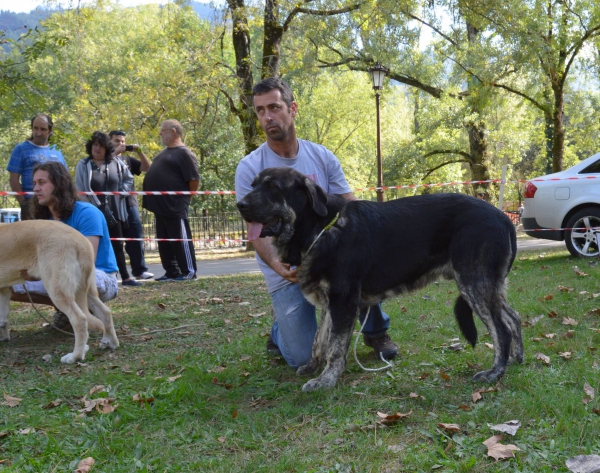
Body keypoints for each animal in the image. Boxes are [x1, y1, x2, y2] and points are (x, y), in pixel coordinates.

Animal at [237, 168, 524, 390]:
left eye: (272, 186)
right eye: (252, 185)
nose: (240, 205)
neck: (321, 228)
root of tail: (504, 218)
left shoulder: (343, 301)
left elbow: (335, 346)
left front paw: (326, 380)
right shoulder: (331, 303)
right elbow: (320, 340)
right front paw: (311, 366)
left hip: (473, 282)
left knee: (500, 329)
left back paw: (494, 373)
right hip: (487, 286)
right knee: (513, 318)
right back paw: (515, 359)